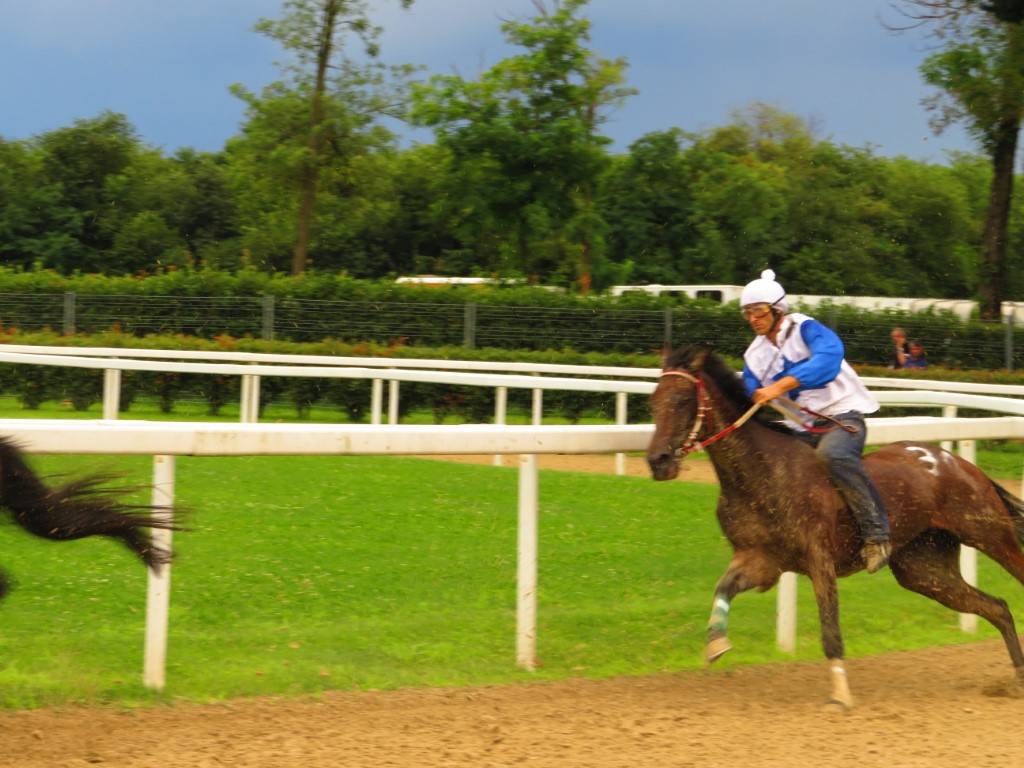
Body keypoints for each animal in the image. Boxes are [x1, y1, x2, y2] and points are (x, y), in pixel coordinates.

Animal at [647, 348, 1024, 708]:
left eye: (682, 400)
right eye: (653, 401)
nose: (657, 461)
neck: (762, 473)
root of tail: (958, 463)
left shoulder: (819, 558)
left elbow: (830, 630)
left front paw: (840, 695)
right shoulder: (760, 559)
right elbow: (723, 588)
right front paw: (715, 642)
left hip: (988, 532)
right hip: (925, 570)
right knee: (997, 607)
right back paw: (1017, 678)